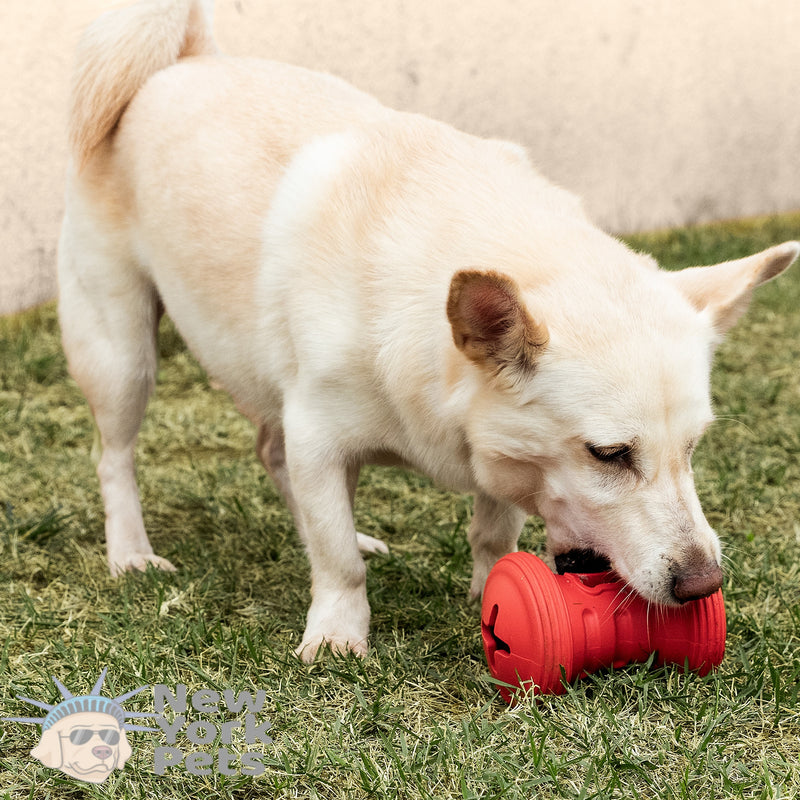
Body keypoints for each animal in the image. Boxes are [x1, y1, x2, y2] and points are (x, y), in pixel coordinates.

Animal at [57, 0, 800, 660]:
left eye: (694, 449)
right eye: (608, 454)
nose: (704, 582)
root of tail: (183, 62)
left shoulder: (491, 451)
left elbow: (490, 534)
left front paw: (486, 594)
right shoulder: (320, 437)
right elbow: (336, 561)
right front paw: (337, 635)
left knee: (272, 452)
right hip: (123, 356)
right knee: (115, 457)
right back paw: (132, 554)